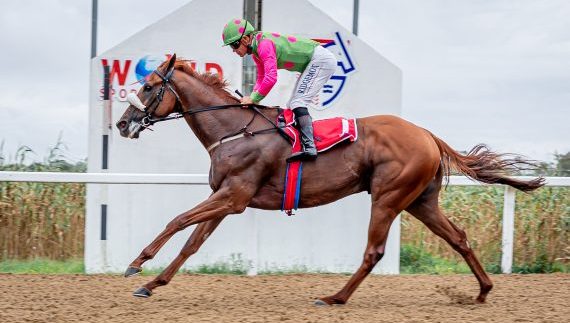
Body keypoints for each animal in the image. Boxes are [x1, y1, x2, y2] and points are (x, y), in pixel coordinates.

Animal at [114, 55, 540, 306]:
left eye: (149, 86)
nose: (121, 124)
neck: (234, 130)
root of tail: (426, 134)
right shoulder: (225, 198)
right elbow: (192, 242)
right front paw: (152, 284)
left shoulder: (234, 196)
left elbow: (177, 220)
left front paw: (136, 264)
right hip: (421, 201)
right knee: (459, 238)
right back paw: (483, 291)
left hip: (388, 196)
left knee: (374, 252)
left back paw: (335, 297)